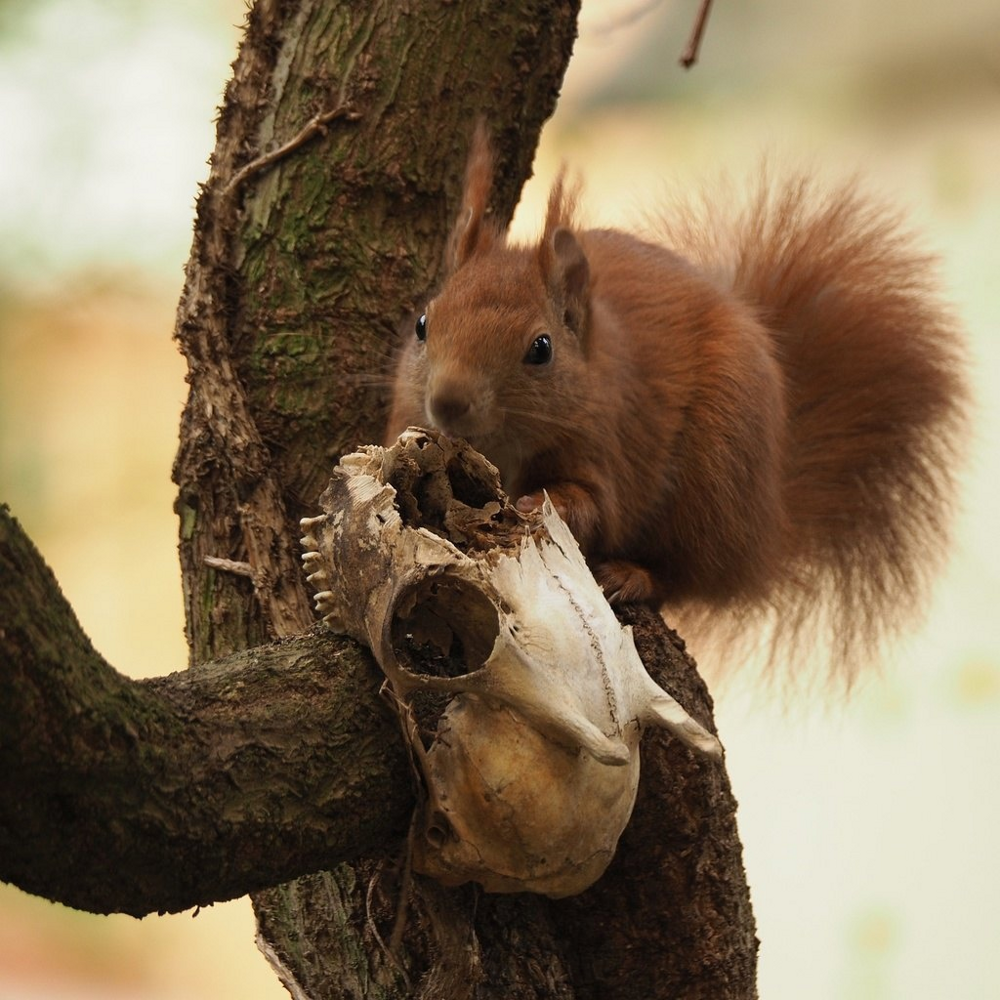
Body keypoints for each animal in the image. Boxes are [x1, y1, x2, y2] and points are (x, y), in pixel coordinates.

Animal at [382, 131, 960, 680]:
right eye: (422, 324)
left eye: (541, 349)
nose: (448, 402)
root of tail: (766, 528)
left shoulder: (612, 444)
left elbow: (594, 508)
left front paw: (539, 503)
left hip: (713, 480)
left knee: (688, 574)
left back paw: (632, 576)